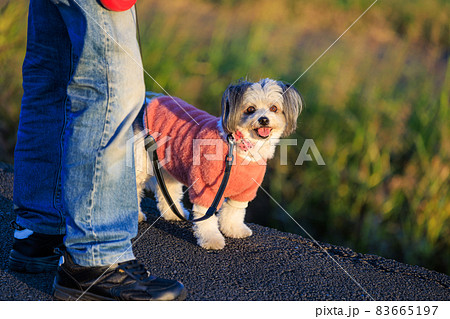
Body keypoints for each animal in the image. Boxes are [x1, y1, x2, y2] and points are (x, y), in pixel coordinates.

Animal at [134, 78, 302, 250]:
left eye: (274, 108)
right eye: (250, 109)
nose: (263, 120)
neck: (241, 147)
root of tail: (148, 101)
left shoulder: (244, 192)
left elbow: (234, 213)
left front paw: (234, 230)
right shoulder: (206, 188)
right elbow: (207, 219)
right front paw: (212, 239)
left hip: (168, 166)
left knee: (168, 190)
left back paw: (173, 213)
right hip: (141, 163)